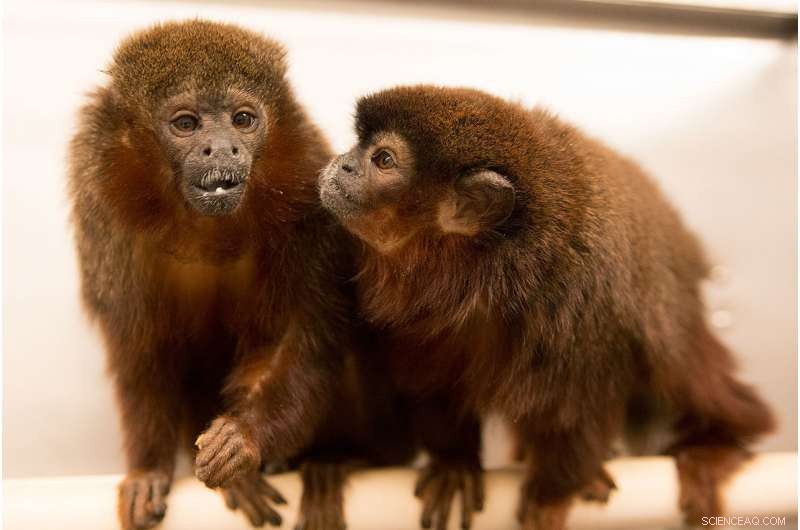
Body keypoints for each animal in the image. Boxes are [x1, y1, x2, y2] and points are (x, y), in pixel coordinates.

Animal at [68, 20, 414, 530]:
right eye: (187, 124)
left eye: (243, 120)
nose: (222, 148)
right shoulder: (105, 208)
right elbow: (142, 346)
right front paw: (149, 470)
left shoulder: (306, 191)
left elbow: (298, 338)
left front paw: (243, 441)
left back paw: (342, 460)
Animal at [319, 85, 775, 530]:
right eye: (359, 145)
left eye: (383, 159)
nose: (344, 163)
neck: (483, 271)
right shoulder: (418, 317)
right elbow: (433, 387)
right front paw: (455, 464)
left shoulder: (581, 301)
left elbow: (575, 410)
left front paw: (552, 492)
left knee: (680, 365)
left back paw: (715, 448)